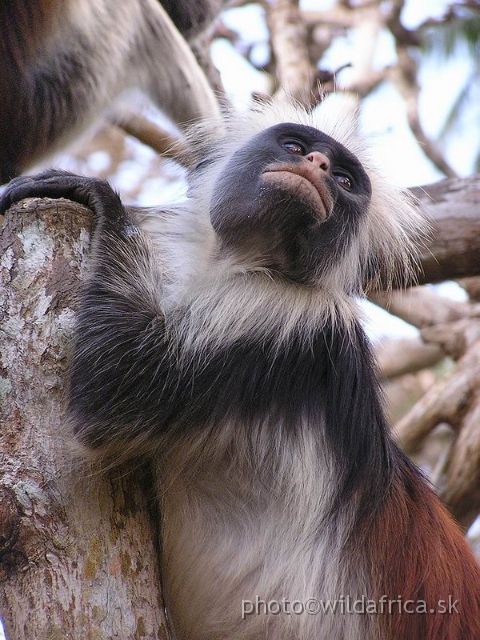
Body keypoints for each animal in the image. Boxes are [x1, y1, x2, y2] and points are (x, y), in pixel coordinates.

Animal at [1, 102, 478, 636]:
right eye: (294, 146)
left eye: (345, 180)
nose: (317, 163)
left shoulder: (282, 315)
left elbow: (108, 398)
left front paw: (106, 205)